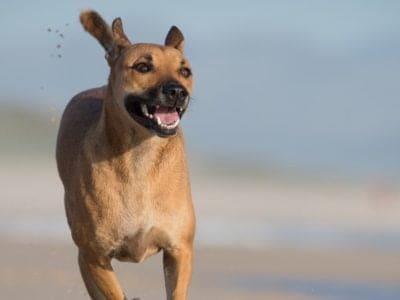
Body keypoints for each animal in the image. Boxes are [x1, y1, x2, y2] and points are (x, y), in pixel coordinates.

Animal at [55, 9, 195, 300]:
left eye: (185, 71)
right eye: (143, 67)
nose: (178, 91)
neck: (141, 155)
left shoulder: (179, 250)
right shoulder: (94, 257)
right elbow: (115, 293)